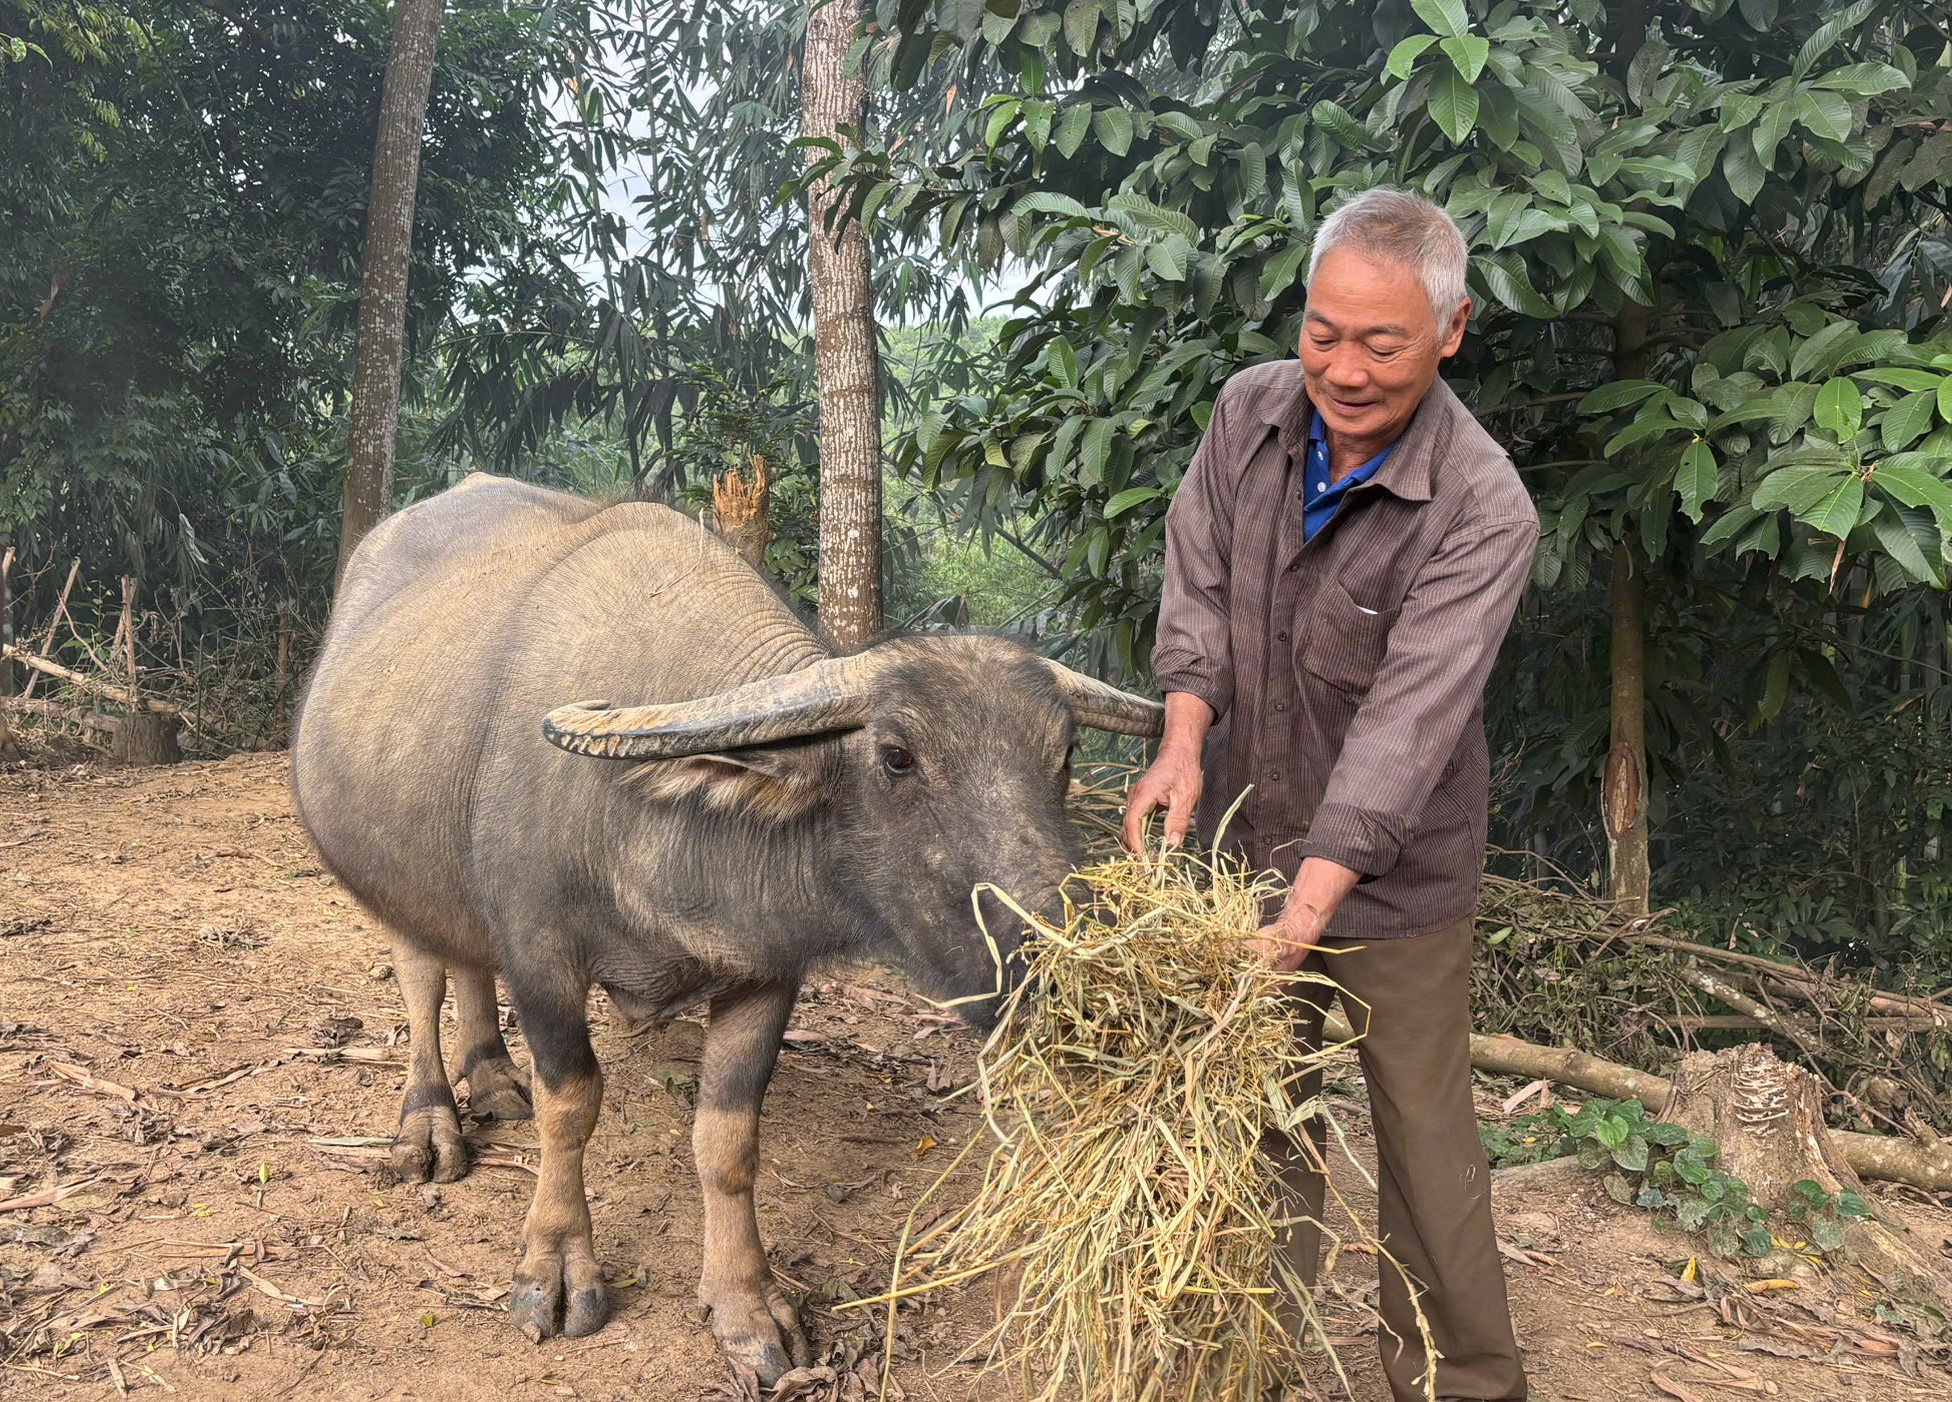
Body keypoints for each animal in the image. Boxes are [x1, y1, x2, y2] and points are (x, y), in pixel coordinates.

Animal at [292, 474, 1155, 1382]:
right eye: (896, 756)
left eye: (1064, 754)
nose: (1061, 966)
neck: (659, 819)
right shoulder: (541, 954)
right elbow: (573, 1102)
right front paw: (555, 1267)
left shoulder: (764, 971)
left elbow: (730, 1138)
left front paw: (747, 1305)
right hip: (387, 878)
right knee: (423, 976)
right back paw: (428, 1122)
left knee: (466, 962)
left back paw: (493, 1077)